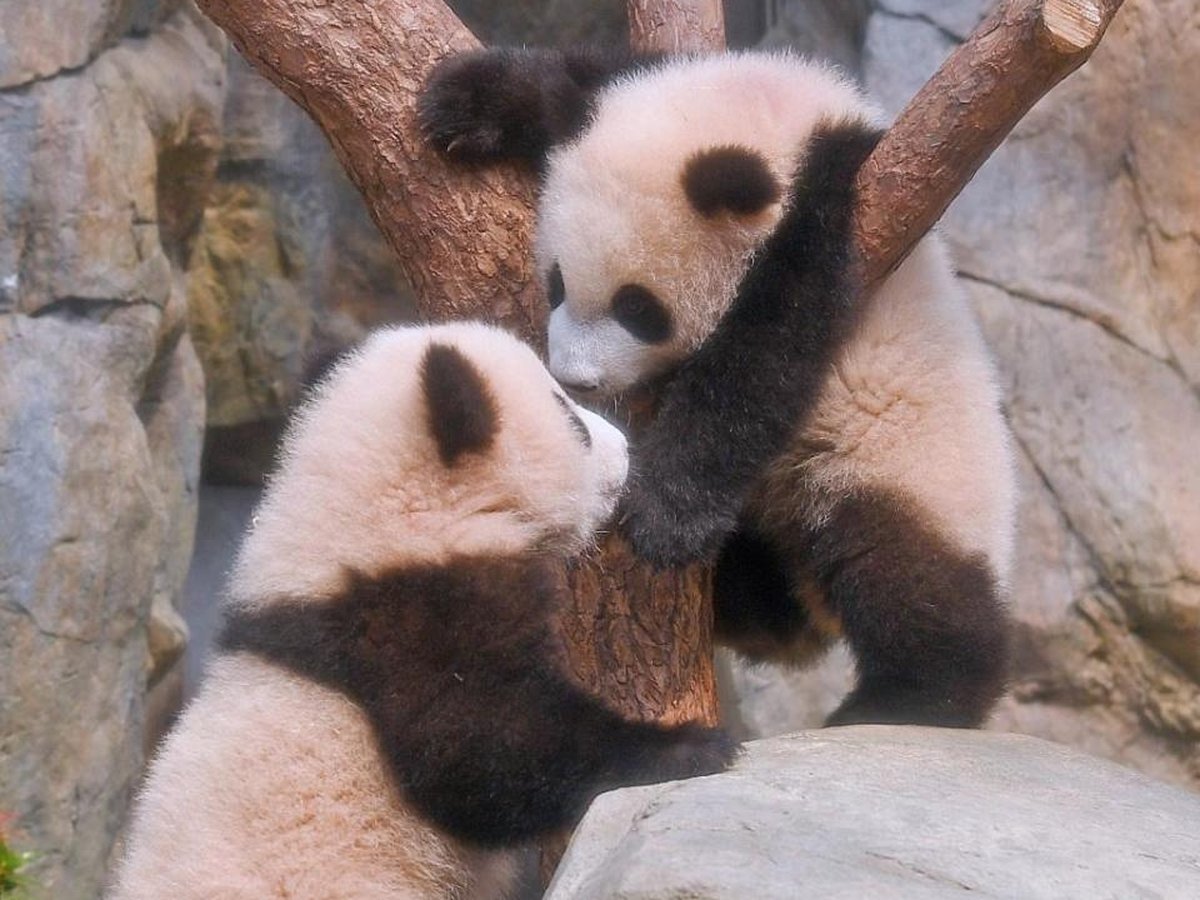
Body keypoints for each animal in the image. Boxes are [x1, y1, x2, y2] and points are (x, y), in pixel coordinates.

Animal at [420, 49, 1016, 728]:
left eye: (638, 309)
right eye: (556, 284)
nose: (574, 377)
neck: (779, 116)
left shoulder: (847, 213)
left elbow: (762, 359)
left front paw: (662, 516)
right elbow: (573, 84)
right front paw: (465, 101)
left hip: (907, 469)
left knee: (910, 580)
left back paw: (906, 698)